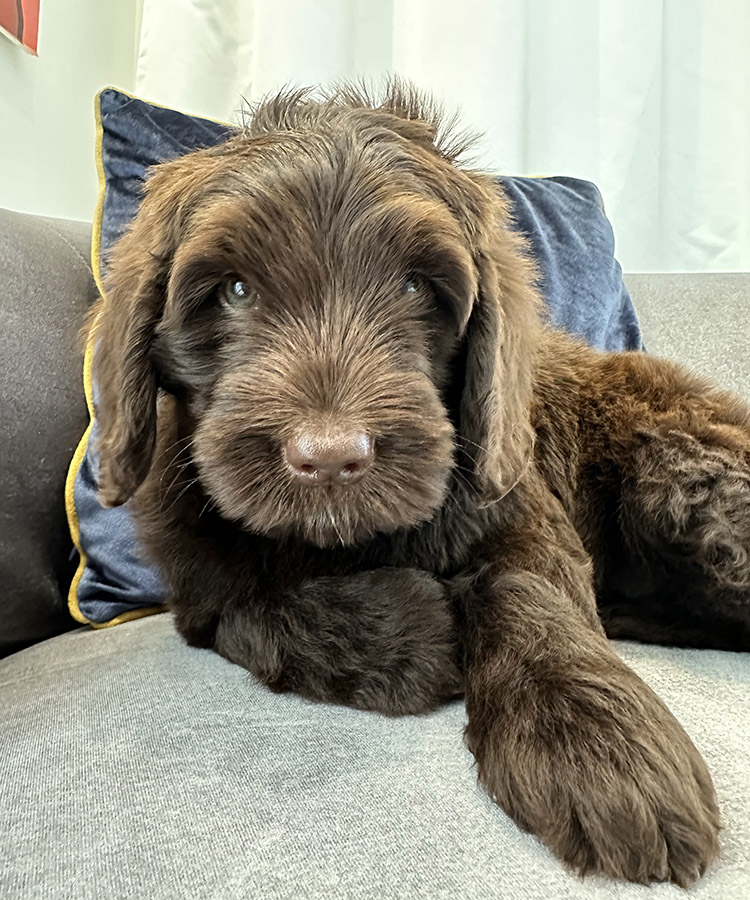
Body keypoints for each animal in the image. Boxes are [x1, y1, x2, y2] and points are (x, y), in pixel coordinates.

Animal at [91, 84, 748, 884]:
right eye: (235, 290)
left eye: (415, 287)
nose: (330, 457)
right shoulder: (196, 582)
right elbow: (255, 607)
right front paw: (422, 623)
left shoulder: (514, 499)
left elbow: (527, 585)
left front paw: (595, 743)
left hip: (679, 481)